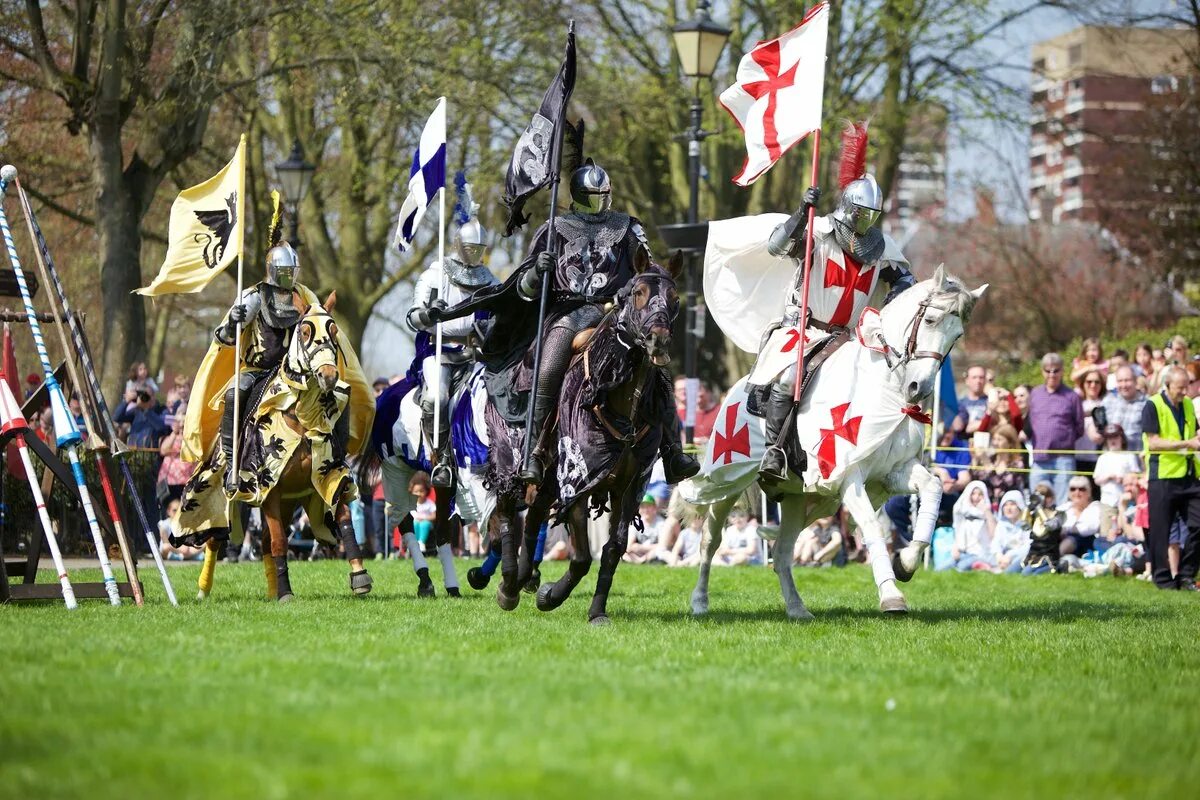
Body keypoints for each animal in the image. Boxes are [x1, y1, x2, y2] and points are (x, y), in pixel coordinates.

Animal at [482, 250, 681, 623]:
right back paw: (508, 586)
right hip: (510, 463)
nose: (659, 340)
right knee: (506, 515)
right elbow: (581, 557)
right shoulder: (576, 481)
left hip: (546, 481)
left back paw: (525, 577)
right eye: (638, 293)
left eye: (674, 298)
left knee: (532, 520)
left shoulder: (629, 487)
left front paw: (597, 611)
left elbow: (613, 550)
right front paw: (550, 597)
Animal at [681, 268, 988, 618]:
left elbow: (934, 489)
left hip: (795, 496)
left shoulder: (895, 471)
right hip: (726, 479)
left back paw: (797, 608)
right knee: (710, 540)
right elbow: (872, 526)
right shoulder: (848, 476)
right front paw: (891, 595)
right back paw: (700, 601)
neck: (882, 388)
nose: (918, 388)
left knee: (782, 552)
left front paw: (907, 562)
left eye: (958, 335)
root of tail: (737, 389)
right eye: (931, 320)